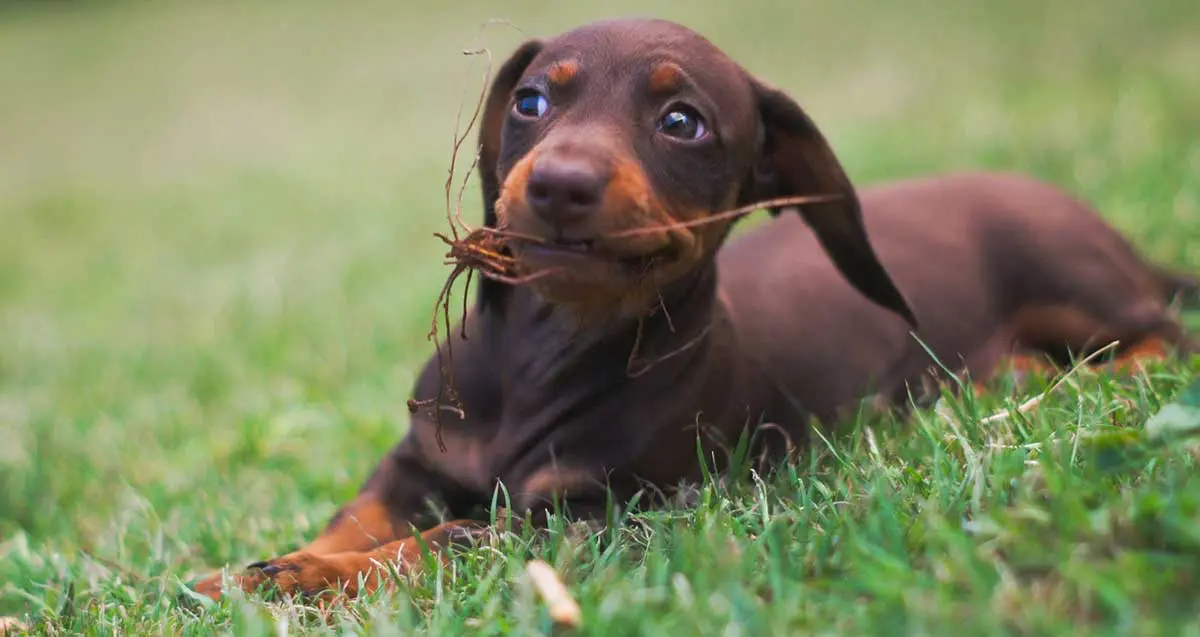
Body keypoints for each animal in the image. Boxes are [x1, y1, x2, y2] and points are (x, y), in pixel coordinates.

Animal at [192, 17, 1195, 599]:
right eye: (532, 100)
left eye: (683, 122)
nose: (556, 185)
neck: (540, 354)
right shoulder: (414, 459)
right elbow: (363, 513)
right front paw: (275, 561)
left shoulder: (592, 514)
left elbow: (441, 538)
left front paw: (306, 577)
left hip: (1078, 285)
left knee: (1166, 334)